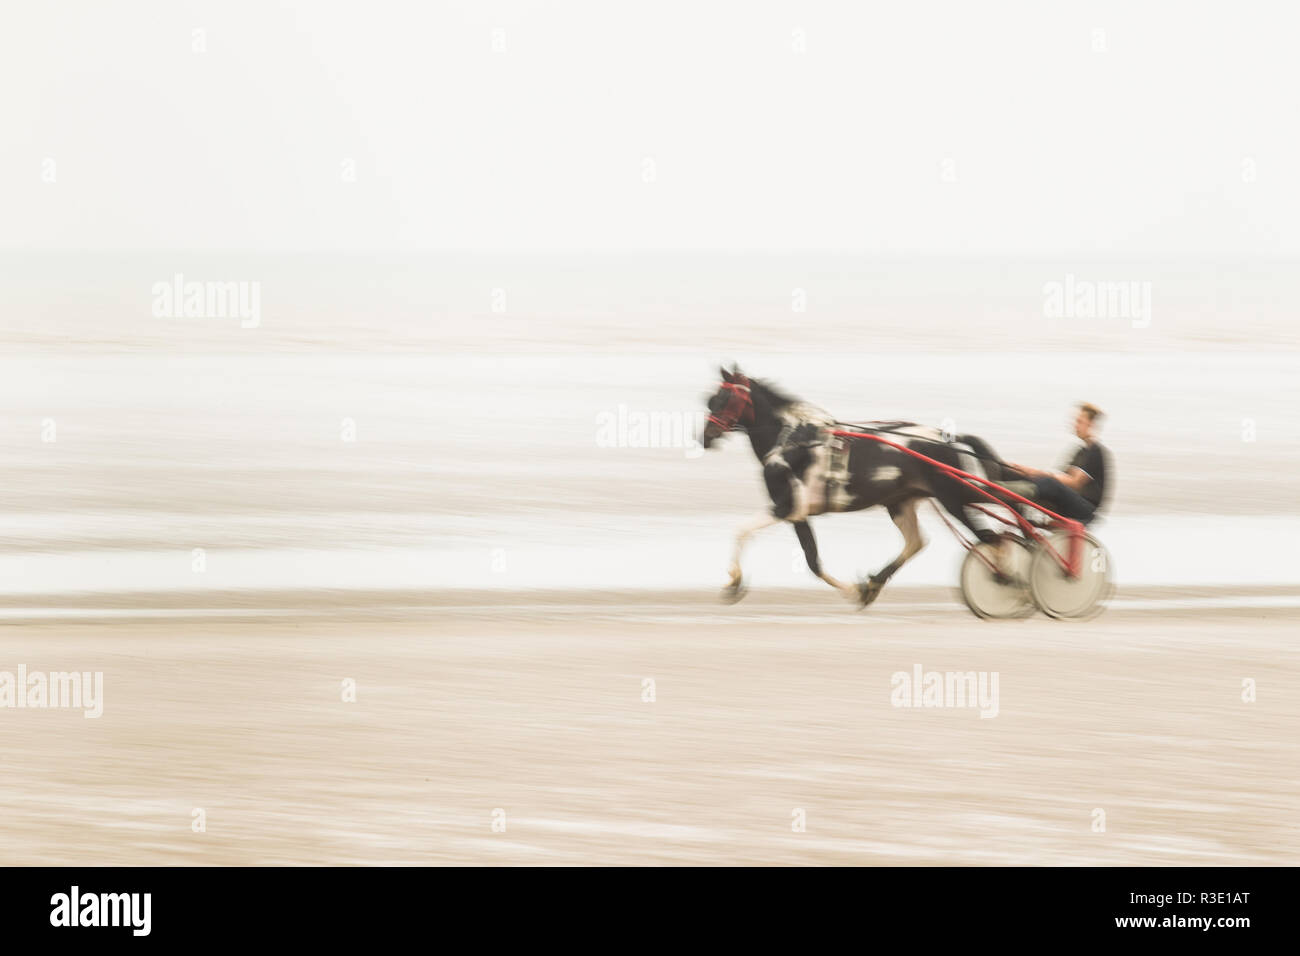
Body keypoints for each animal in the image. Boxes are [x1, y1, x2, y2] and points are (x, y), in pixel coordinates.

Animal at [702, 364, 1013, 606]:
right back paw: (874, 583)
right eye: (710, 399)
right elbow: (812, 559)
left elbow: (746, 533)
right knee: (916, 541)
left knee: (992, 532)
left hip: (954, 496)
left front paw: (734, 581)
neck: (791, 440)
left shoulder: (786, 506)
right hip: (900, 502)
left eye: (724, 398)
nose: (704, 436)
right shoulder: (799, 513)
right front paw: (859, 590)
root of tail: (948, 438)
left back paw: (1005, 575)